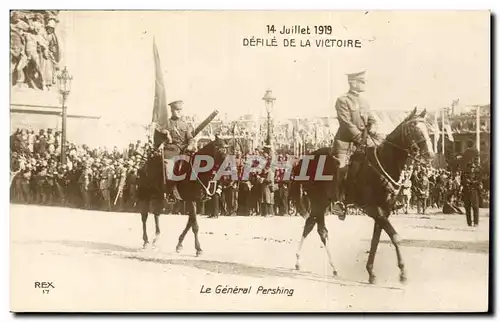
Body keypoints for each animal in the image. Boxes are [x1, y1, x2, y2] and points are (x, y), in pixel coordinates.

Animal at [292, 108, 436, 284]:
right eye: (413, 127)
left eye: (427, 128)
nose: (430, 154)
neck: (384, 163)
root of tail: (305, 159)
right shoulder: (374, 209)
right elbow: (395, 237)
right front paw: (403, 273)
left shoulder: (384, 211)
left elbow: (376, 240)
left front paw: (371, 272)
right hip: (318, 202)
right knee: (313, 228)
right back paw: (301, 261)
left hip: (323, 203)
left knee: (317, 229)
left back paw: (330, 267)